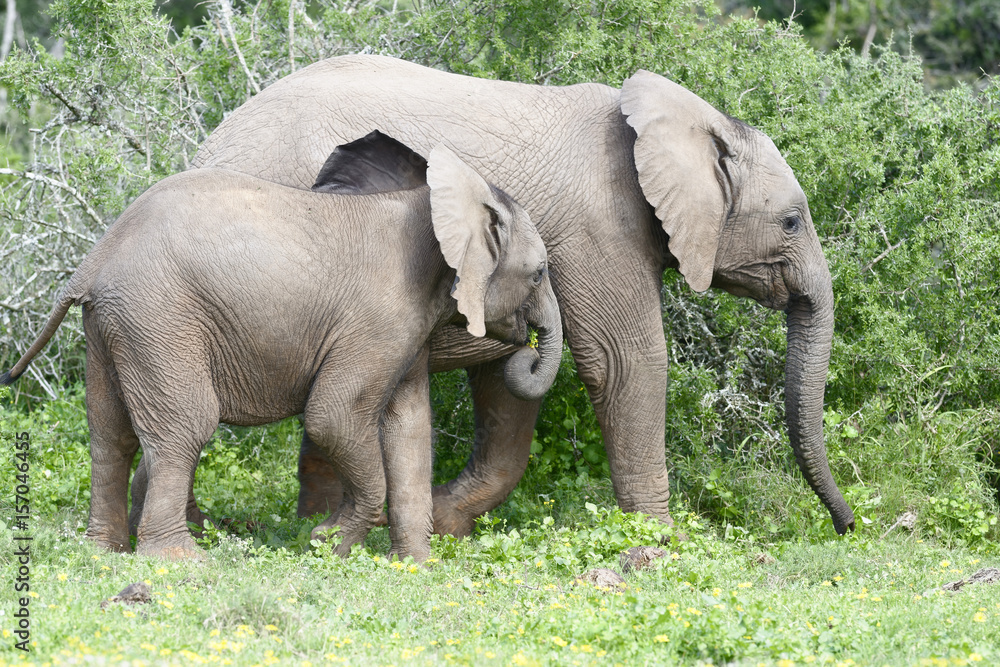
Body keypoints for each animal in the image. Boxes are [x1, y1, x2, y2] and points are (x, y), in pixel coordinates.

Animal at [1, 132, 562, 561]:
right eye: (538, 274)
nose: (528, 348)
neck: (432, 206)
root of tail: (93, 260)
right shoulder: (378, 321)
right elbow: (334, 416)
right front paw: (327, 544)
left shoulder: (405, 327)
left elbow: (408, 427)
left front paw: (414, 567)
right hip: (158, 317)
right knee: (184, 427)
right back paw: (180, 562)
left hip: (111, 324)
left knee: (109, 432)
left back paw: (104, 551)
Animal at [185, 55, 855, 537]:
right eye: (792, 222)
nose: (847, 526)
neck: (678, 122)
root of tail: (208, 143)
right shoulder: (599, 229)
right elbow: (625, 361)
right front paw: (662, 544)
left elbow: (504, 382)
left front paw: (445, 522)